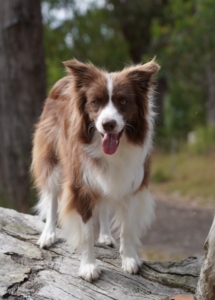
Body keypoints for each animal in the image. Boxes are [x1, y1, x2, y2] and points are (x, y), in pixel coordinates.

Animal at [31, 58, 160, 282]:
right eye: (95, 102)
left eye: (123, 101)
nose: (108, 124)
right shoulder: (81, 183)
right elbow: (86, 231)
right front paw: (88, 267)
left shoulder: (132, 182)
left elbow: (127, 227)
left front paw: (129, 259)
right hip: (52, 156)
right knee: (52, 196)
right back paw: (48, 235)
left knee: (104, 205)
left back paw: (106, 236)